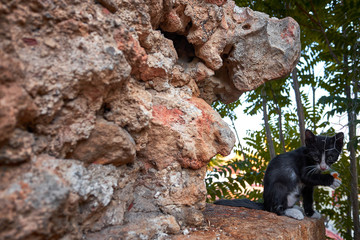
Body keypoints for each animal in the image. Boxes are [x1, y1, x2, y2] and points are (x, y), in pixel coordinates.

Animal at [215, 129, 344, 219]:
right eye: (316, 157)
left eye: (331, 157)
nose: (323, 167)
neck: (308, 157)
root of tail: (265, 204)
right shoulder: (303, 168)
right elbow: (308, 177)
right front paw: (332, 180)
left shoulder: (308, 186)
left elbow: (308, 198)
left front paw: (310, 213)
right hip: (279, 186)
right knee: (274, 208)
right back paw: (292, 212)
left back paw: (295, 207)